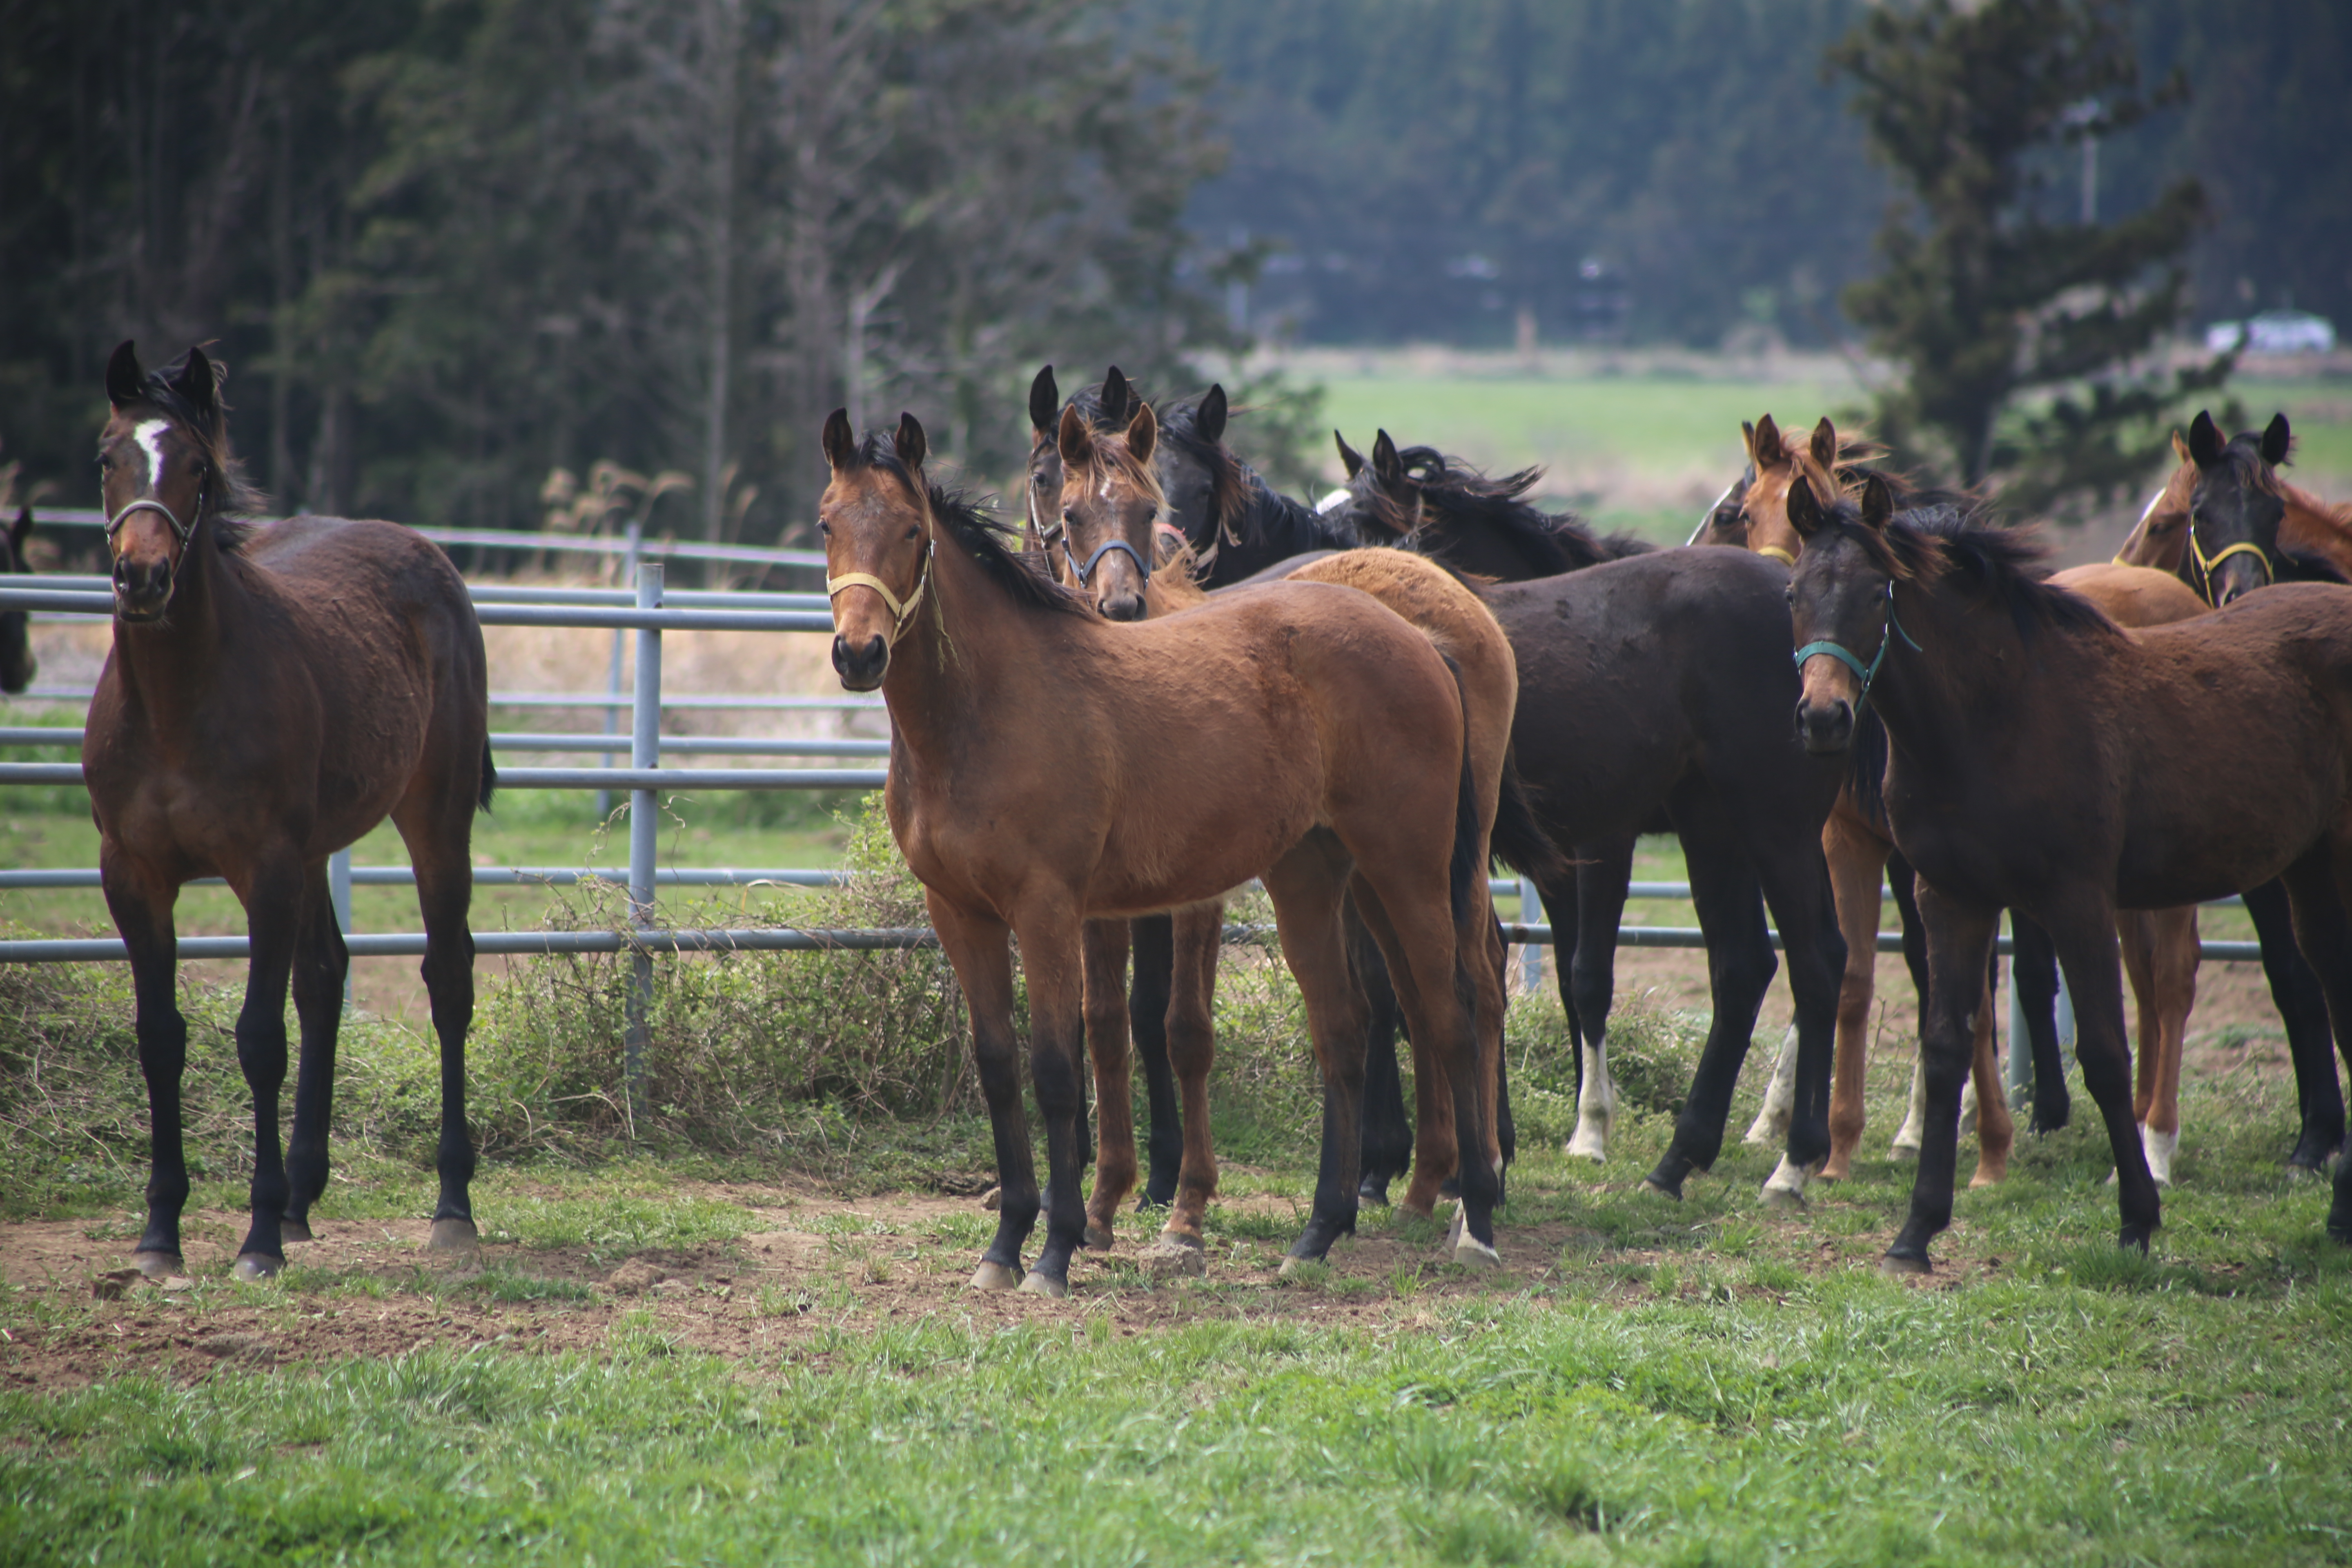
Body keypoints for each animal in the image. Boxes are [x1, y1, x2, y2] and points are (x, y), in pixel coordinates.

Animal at [89, 339, 494, 1278]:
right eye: (107, 458)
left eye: (198, 467)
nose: (142, 578)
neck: (177, 704)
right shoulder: (133, 876)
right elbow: (161, 1039)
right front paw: (160, 1233)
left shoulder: (263, 870)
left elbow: (257, 1039)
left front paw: (258, 1239)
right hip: (316, 851)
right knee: (326, 977)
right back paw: (307, 1194)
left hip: (433, 821)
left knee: (447, 979)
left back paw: (451, 1204)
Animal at [818, 411, 1496, 1297]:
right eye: (828, 524)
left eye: (911, 530)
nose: (858, 653)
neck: (987, 710)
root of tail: (1420, 639)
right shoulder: (960, 914)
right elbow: (1000, 1068)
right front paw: (1004, 1247)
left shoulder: (1047, 910)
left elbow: (1059, 1070)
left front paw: (1057, 1249)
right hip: (1315, 877)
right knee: (1345, 1031)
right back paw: (1319, 1232)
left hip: (1407, 869)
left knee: (1451, 1019)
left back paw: (1475, 1221)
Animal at [1778, 472, 2352, 1269]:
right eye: (1793, 592)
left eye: (1874, 593)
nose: (1823, 719)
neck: (1997, 718)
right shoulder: (1950, 897)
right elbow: (1946, 1046)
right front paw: (1916, 1231)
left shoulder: (2076, 900)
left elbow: (2106, 1053)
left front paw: (2137, 1220)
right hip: (2310, 871)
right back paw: (2340, 1214)